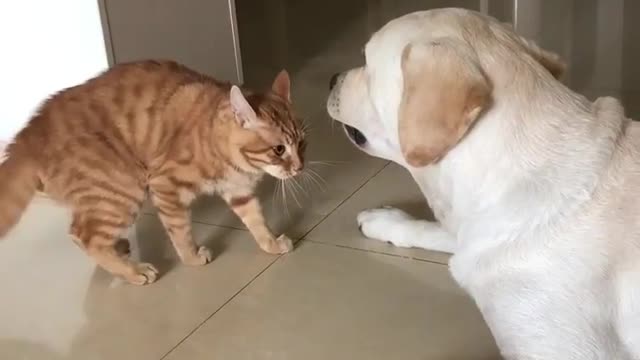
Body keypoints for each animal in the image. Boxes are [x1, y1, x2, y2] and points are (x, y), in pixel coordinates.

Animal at [0, 60, 306, 286]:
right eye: (279, 149)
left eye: (302, 142)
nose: (300, 167)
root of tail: (28, 134)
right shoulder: (165, 184)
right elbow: (180, 230)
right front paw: (192, 258)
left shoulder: (238, 190)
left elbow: (257, 221)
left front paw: (270, 243)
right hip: (124, 187)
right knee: (85, 235)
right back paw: (133, 272)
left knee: (80, 230)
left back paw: (120, 250)